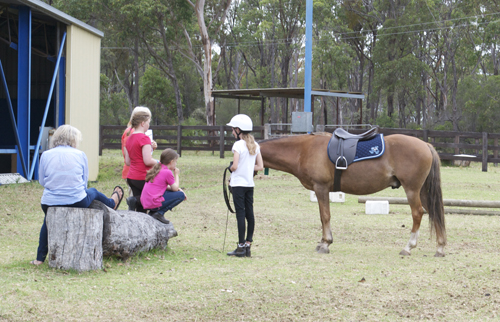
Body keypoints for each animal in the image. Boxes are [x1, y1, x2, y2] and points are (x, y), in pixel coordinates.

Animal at [258, 133, 446, 256]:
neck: (303, 150)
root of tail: (425, 145)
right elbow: (322, 216)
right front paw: (323, 242)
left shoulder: (321, 188)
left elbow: (325, 216)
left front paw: (325, 243)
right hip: (423, 191)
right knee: (435, 212)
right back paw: (440, 247)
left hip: (412, 190)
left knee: (417, 213)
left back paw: (408, 247)